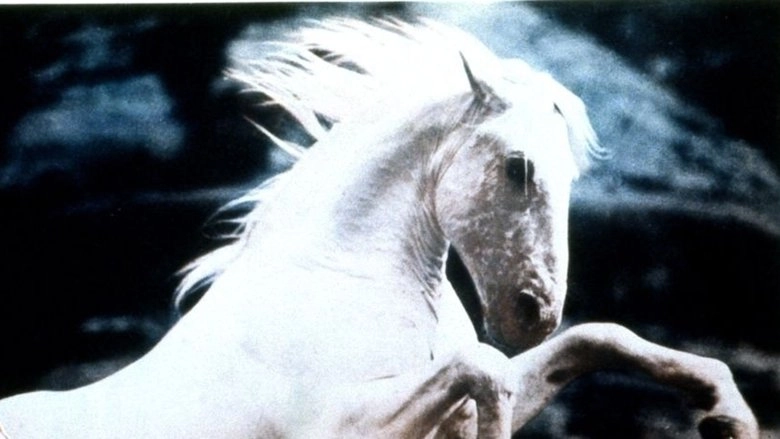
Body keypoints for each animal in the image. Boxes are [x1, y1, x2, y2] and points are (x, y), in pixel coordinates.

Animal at [0, 17, 758, 439]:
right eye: (518, 167)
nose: (535, 314)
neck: (347, 278)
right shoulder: (339, 426)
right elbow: (485, 368)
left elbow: (598, 339)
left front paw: (727, 416)